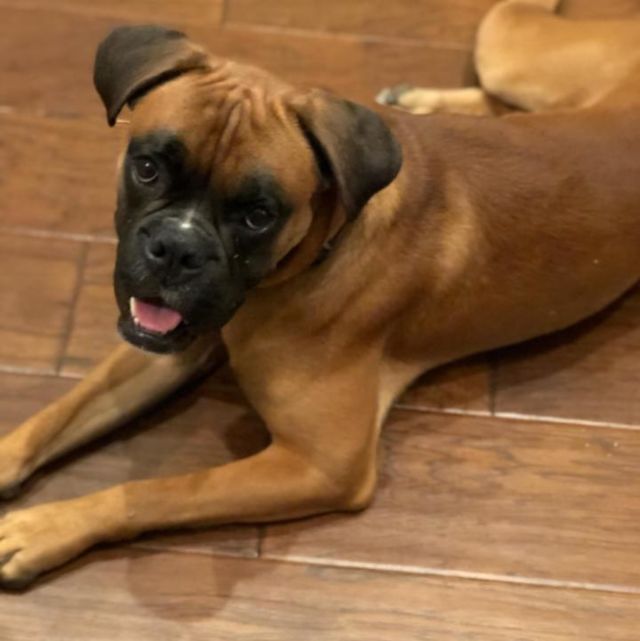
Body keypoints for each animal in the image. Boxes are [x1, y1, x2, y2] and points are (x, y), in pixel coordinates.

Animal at [0, 0, 639, 588]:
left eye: (259, 215)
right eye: (149, 167)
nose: (176, 248)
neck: (317, 249)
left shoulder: (321, 465)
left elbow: (155, 491)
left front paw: (46, 526)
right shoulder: (168, 348)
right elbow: (57, 414)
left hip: (507, 40)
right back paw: (415, 101)